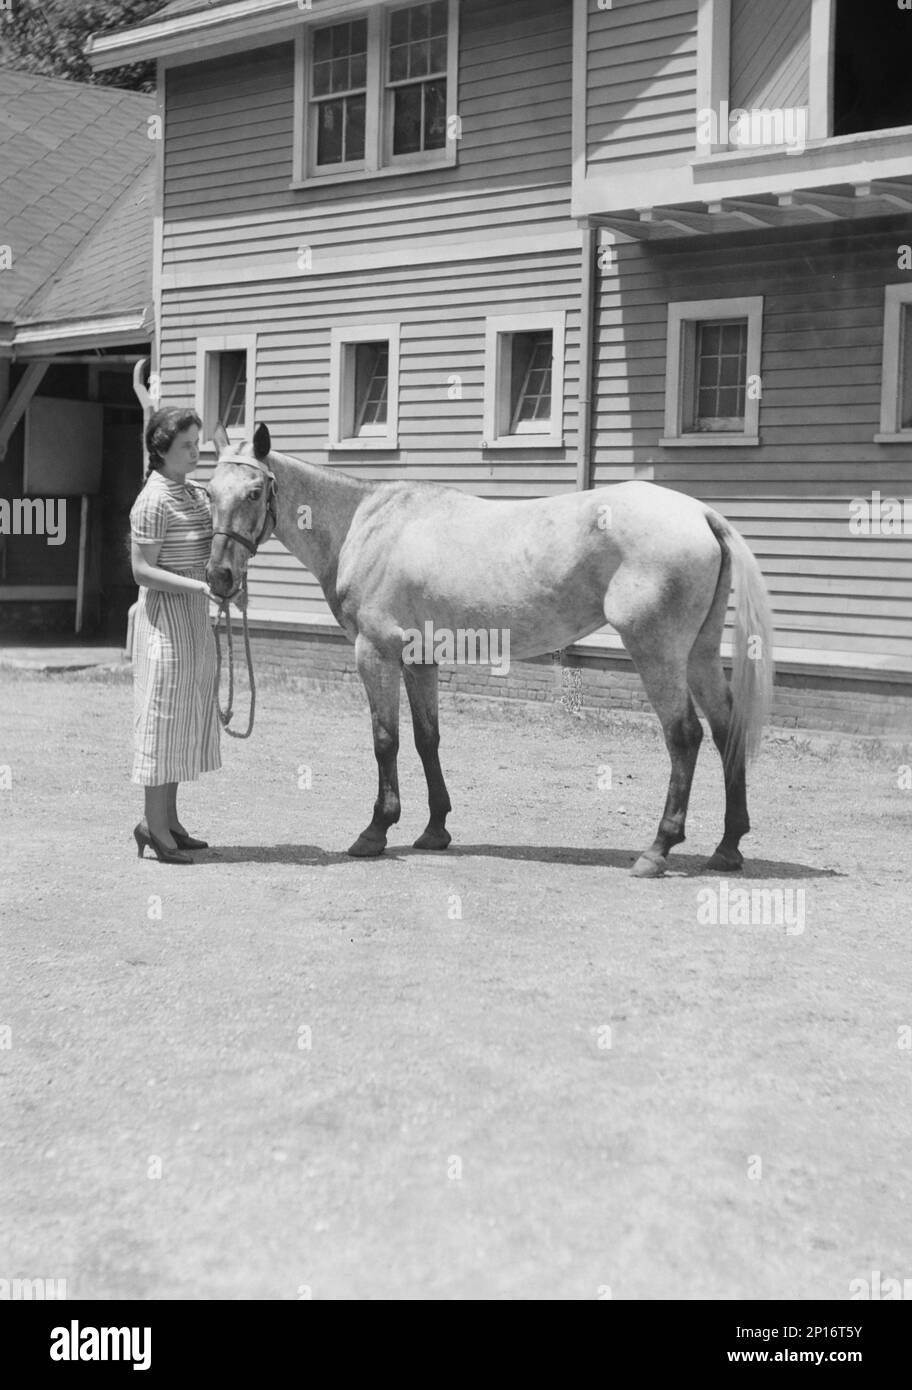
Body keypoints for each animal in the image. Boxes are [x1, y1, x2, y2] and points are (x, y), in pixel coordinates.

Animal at [208, 422, 778, 878]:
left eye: (255, 492)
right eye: (209, 491)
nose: (220, 577)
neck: (365, 525)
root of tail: (702, 514)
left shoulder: (376, 653)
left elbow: (386, 740)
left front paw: (375, 831)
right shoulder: (420, 659)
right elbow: (428, 739)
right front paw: (435, 830)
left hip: (657, 651)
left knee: (684, 736)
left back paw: (658, 849)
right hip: (699, 653)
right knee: (726, 728)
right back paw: (728, 847)